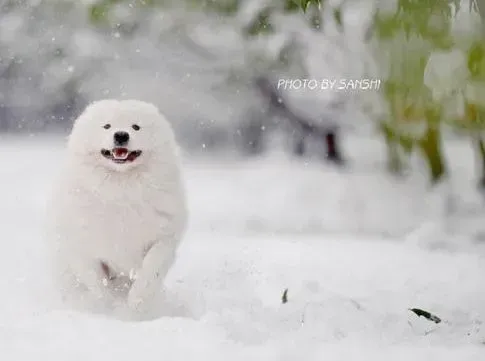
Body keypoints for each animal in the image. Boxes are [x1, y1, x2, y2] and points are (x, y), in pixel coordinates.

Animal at [45, 99, 186, 320]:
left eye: (136, 127)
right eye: (107, 126)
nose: (121, 135)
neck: (121, 190)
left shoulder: (163, 238)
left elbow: (150, 271)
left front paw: (136, 303)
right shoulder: (83, 248)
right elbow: (98, 283)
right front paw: (110, 308)